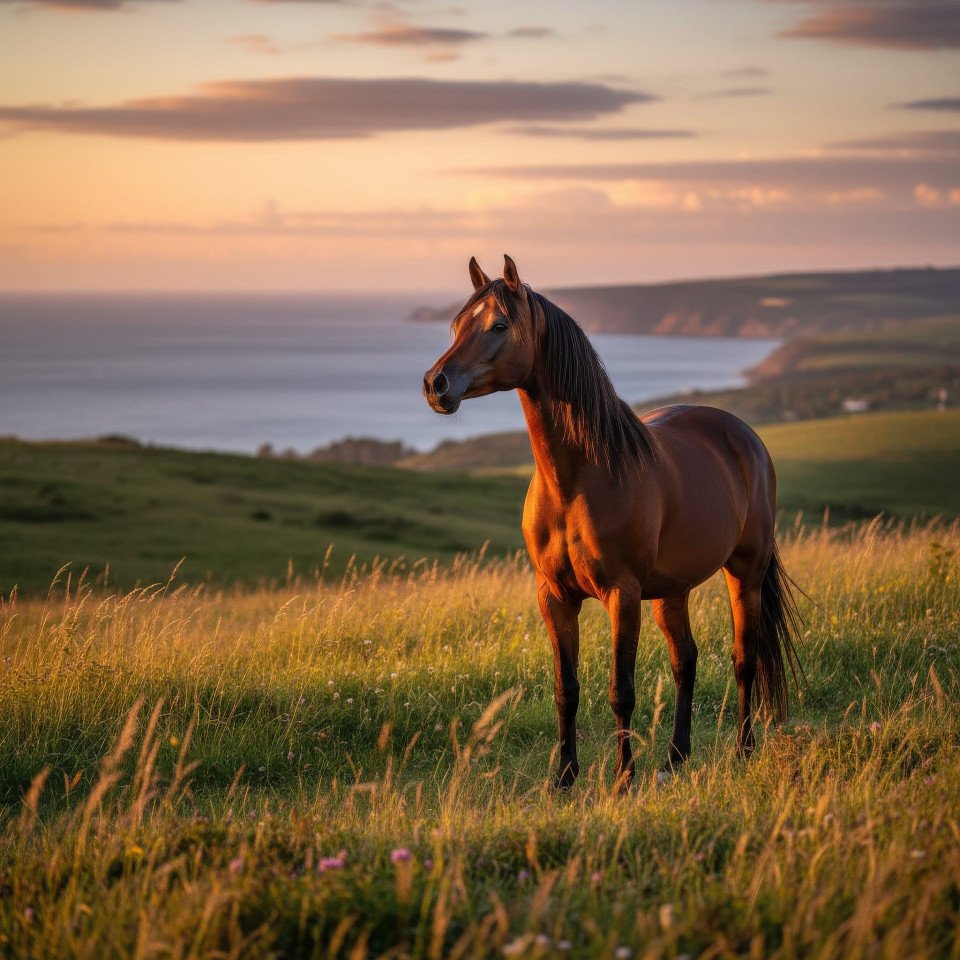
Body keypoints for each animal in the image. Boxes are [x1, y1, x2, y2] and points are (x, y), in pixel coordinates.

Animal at [423, 255, 803, 790]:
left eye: (498, 325)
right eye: (457, 324)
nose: (435, 385)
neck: (578, 478)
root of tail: (744, 435)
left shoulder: (621, 595)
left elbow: (621, 690)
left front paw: (623, 780)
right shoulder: (554, 597)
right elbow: (567, 688)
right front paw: (563, 778)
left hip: (743, 574)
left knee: (744, 659)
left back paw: (743, 750)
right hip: (671, 591)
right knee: (685, 661)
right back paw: (674, 759)